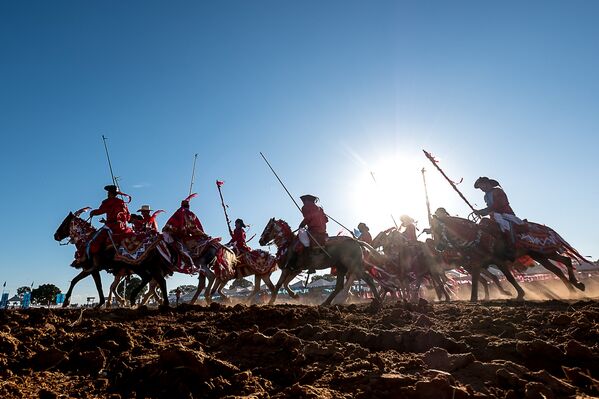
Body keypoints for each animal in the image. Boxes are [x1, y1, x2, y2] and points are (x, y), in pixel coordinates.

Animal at [434, 211, 588, 302]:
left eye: (437, 229)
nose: (438, 247)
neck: (476, 237)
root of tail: (546, 228)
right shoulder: (476, 264)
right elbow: (478, 280)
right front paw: (474, 299)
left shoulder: (497, 261)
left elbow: (508, 277)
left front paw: (519, 294)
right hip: (540, 256)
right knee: (559, 268)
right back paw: (574, 289)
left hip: (544, 253)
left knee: (565, 262)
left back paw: (576, 286)